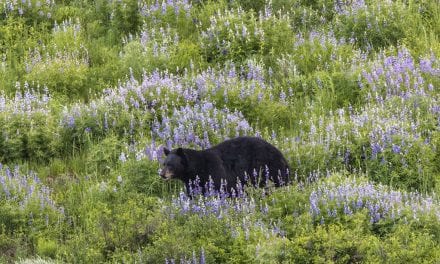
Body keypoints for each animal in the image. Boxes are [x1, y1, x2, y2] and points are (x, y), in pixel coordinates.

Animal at [160, 137, 290, 195]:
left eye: (170, 165)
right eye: (164, 164)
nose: (162, 174)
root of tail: (280, 154)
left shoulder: (214, 173)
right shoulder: (193, 183)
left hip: (267, 168)